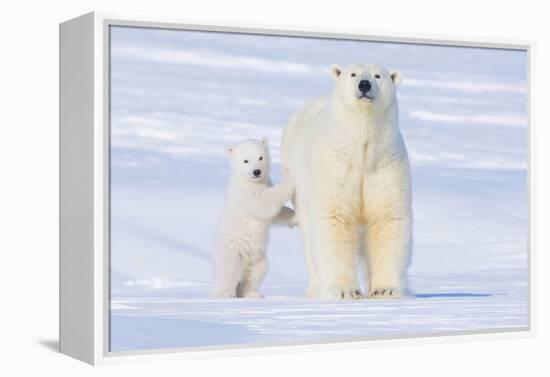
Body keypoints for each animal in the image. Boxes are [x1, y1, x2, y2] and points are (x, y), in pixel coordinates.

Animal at [211, 137, 298, 298]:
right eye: (245, 160)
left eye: (260, 157)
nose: (257, 171)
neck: (251, 181)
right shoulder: (244, 192)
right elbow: (263, 202)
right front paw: (290, 180)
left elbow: (274, 214)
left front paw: (295, 218)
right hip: (231, 250)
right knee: (228, 271)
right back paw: (225, 294)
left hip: (257, 257)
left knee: (257, 272)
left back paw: (252, 293)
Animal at [282, 64, 412, 300]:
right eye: (353, 74)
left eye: (378, 75)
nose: (364, 85)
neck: (361, 149)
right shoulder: (335, 165)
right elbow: (335, 217)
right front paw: (345, 291)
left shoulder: (386, 165)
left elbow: (386, 218)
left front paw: (385, 290)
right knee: (309, 237)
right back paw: (316, 288)